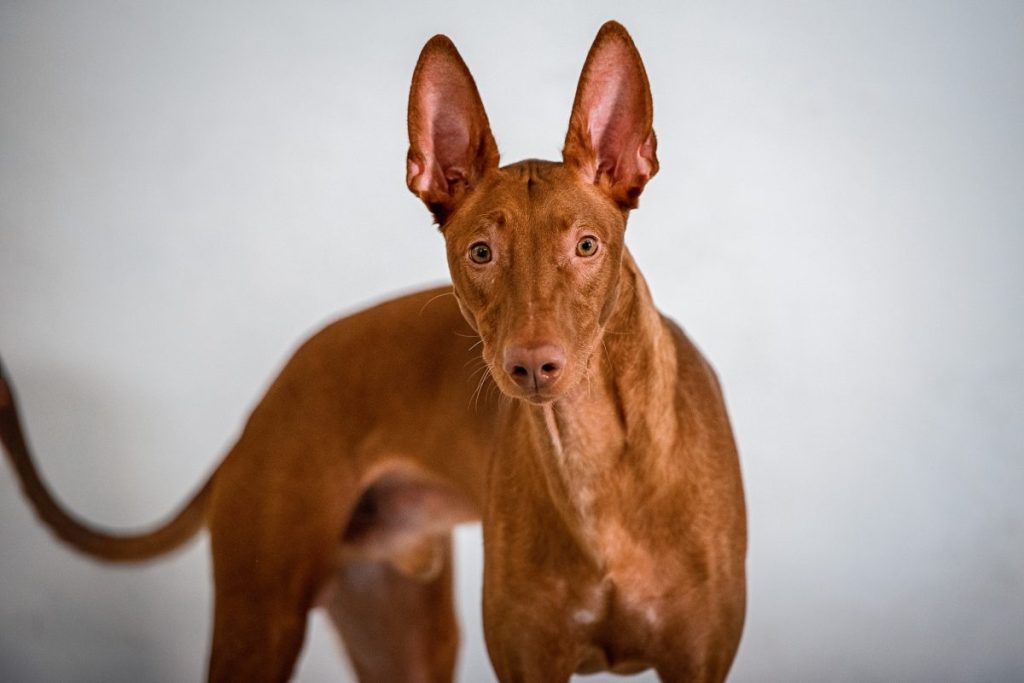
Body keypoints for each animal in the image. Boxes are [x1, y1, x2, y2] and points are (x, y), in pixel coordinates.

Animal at [0, 21, 745, 683]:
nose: (533, 365)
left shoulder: (697, 661)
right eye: (481, 252)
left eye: (586, 245)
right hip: (266, 618)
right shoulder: (529, 662)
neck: (601, 466)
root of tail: (265, 401)